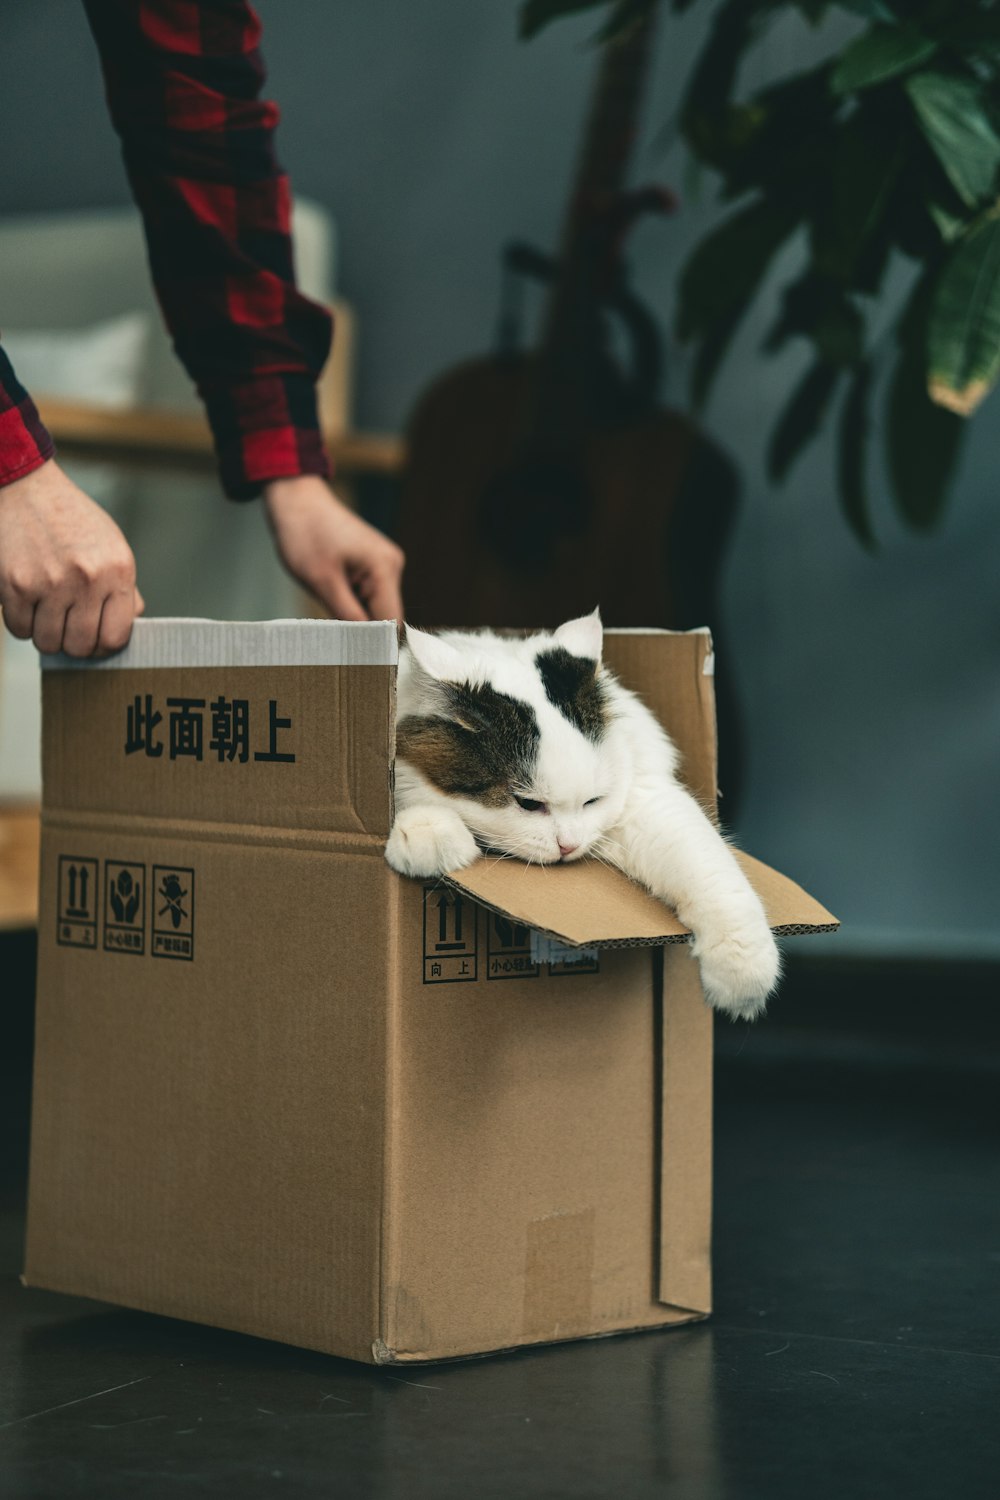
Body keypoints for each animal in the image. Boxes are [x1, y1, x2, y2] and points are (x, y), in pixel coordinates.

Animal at [386, 609, 779, 1020]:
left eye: (592, 802)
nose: (568, 846)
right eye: (527, 803)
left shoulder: (646, 803)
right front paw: (430, 835)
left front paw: (744, 977)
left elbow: (711, 872)